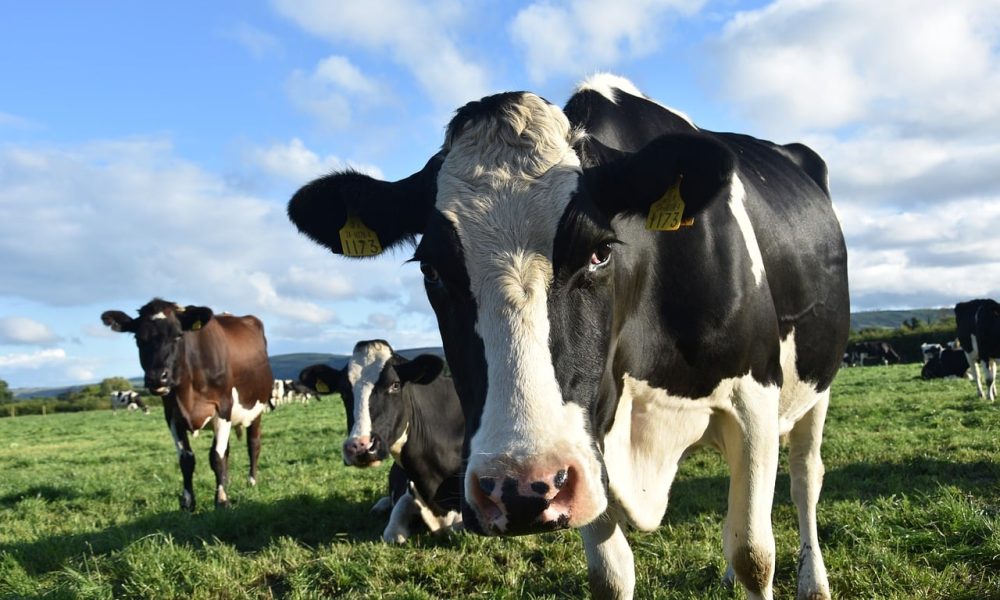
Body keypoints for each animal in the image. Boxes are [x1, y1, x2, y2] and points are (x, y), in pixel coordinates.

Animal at [101, 298, 273, 511]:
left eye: (178, 335)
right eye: (138, 338)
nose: (157, 377)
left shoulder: (223, 408)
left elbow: (216, 457)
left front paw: (222, 499)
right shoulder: (172, 415)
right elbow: (187, 460)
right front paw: (188, 502)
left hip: (256, 409)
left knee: (253, 444)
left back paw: (251, 481)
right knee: (227, 450)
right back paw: (227, 481)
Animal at [287, 74, 850, 600]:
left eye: (599, 252)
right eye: (431, 269)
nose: (517, 489)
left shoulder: (753, 398)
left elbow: (753, 552)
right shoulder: (587, 436)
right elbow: (611, 577)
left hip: (815, 389)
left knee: (805, 478)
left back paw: (813, 580)